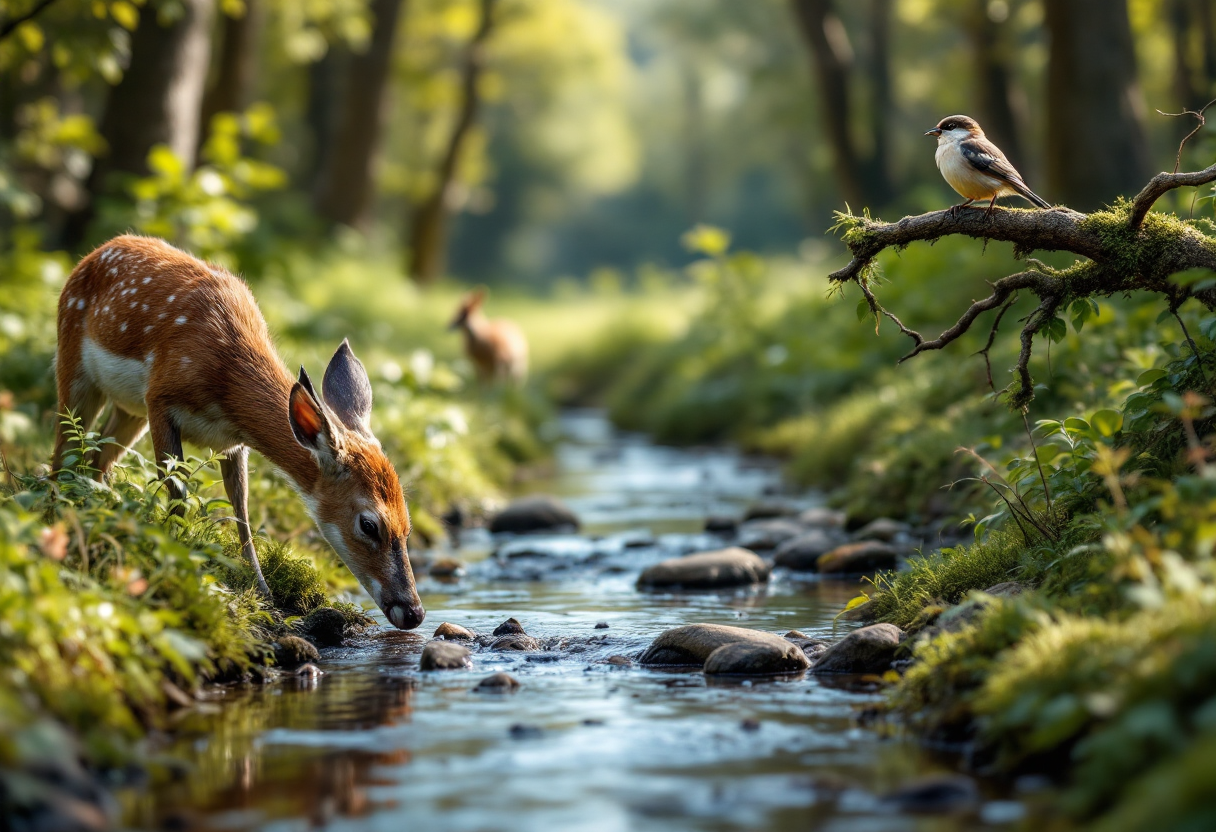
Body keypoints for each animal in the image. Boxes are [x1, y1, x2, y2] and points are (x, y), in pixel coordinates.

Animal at [51, 233, 428, 632]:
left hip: (129, 410)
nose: (414, 612)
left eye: (408, 526)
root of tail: (96, 251)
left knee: (96, 461)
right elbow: (178, 491)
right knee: (62, 454)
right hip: (74, 364)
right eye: (369, 525)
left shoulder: (233, 441)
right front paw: (178, 557)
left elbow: (242, 508)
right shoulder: (160, 397)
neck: (225, 378)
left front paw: (262, 590)